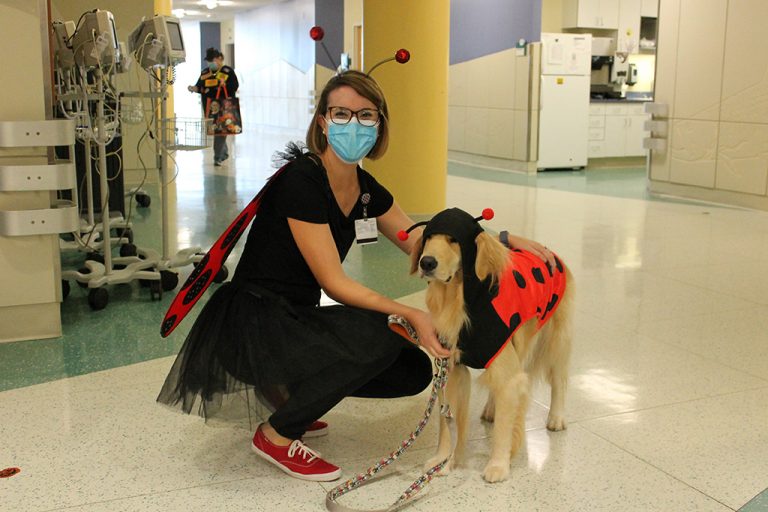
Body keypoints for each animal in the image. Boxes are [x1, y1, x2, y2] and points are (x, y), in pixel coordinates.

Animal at [412, 208, 572, 484]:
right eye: (428, 236)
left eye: (453, 240)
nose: (427, 262)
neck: (461, 299)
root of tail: (552, 254)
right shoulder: (451, 367)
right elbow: (446, 422)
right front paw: (443, 460)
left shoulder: (507, 367)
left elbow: (502, 429)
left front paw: (498, 465)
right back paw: (491, 409)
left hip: (555, 338)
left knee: (558, 379)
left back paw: (556, 416)